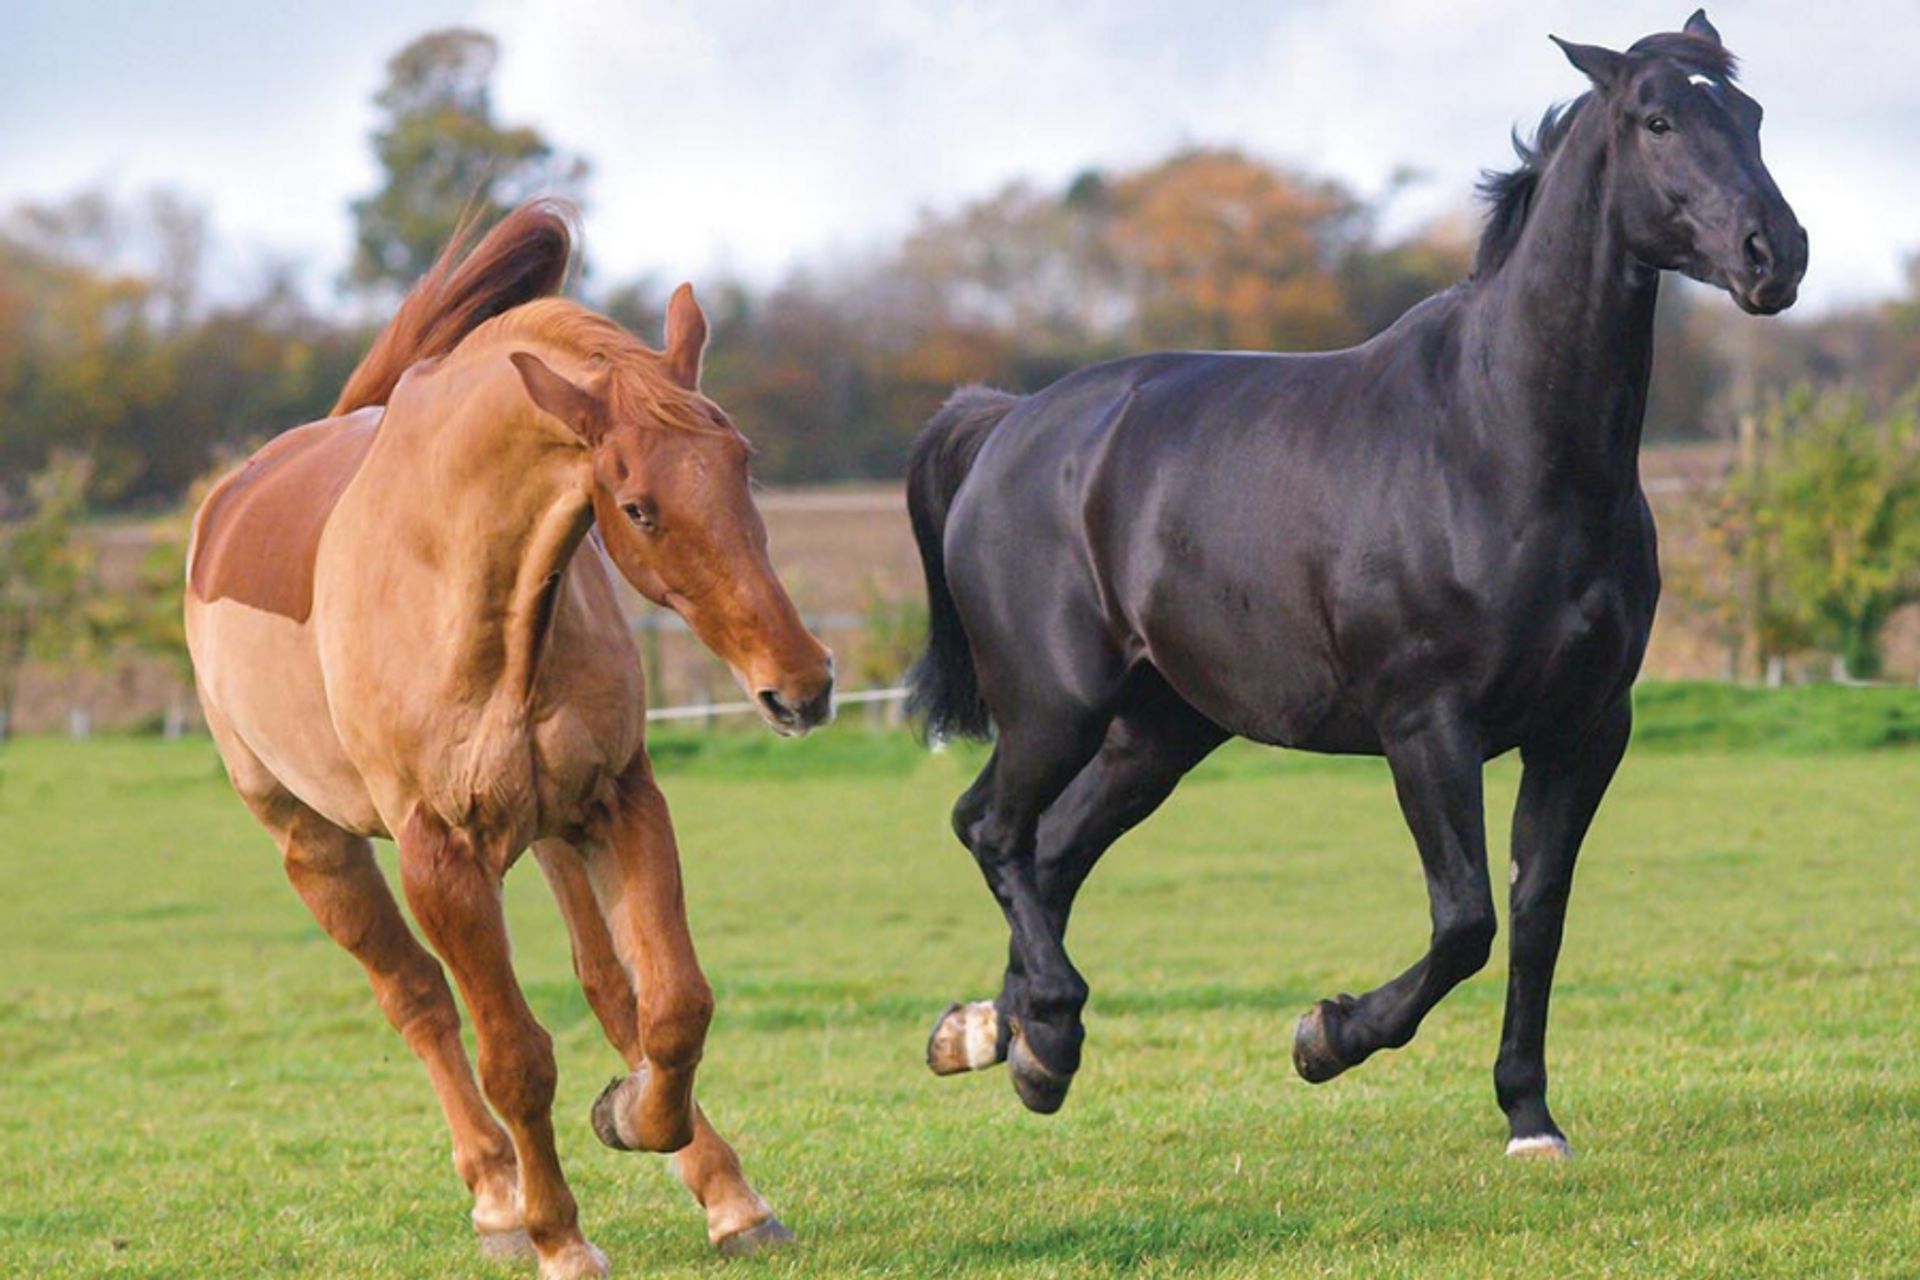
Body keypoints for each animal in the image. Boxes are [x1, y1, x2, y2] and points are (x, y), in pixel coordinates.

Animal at [185, 202, 834, 1279]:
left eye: (744, 466)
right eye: (639, 506)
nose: (803, 685)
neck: (461, 585)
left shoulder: (619, 799)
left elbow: (672, 1003)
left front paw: (660, 1138)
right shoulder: (440, 857)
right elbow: (515, 1056)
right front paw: (559, 1236)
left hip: (553, 834)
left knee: (612, 988)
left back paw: (703, 1177)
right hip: (313, 844)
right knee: (418, 1000)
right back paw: (496, 1195)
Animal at [909, 11, 1805, 1159]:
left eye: (1751, 113)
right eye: (1658, 119)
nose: (1776, 254)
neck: (1498, 440)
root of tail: (1007, 423)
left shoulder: (1586, 728)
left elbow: (1538, 916)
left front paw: (1530, 1114)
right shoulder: (1426, 724)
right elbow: (1466, 919)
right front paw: (1326, 1034)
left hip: (1158, 730)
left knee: (1051, 852)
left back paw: (1004, 1039)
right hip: (1053, 704)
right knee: (992, 829)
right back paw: (1044, 1031)